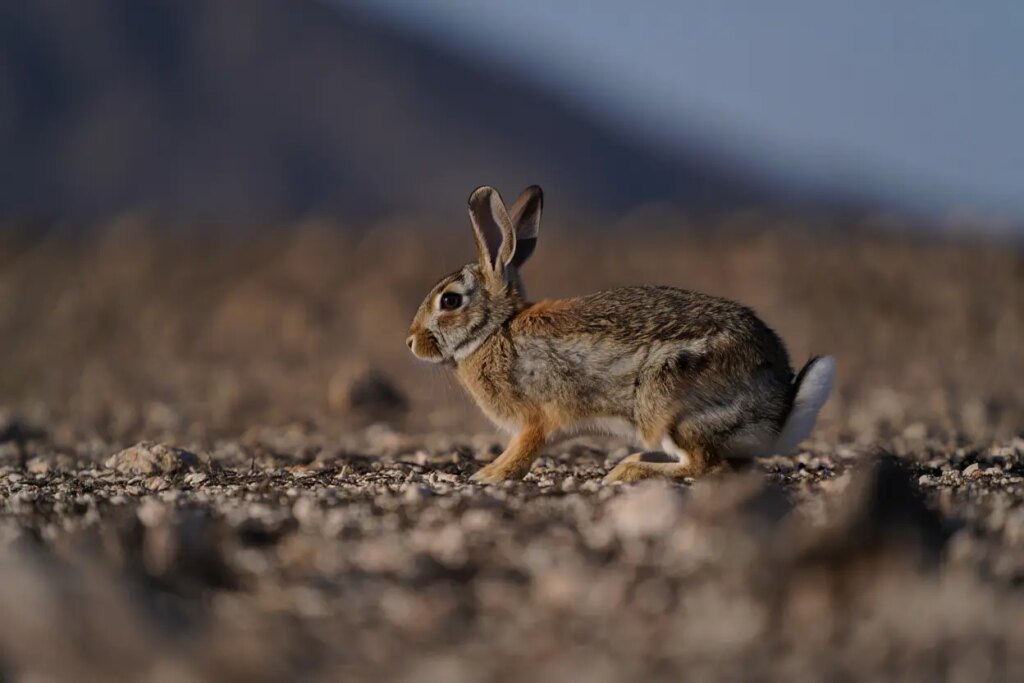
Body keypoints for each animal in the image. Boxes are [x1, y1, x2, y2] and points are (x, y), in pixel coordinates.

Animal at [406, 185, 836, 484]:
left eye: (449, 300)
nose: (410, 342)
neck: (495, 330)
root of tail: (778, 411)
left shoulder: (537, 419)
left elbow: (522, 452)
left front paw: (489, 474)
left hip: (667, 408)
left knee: (704, 465)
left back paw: (628, 470)